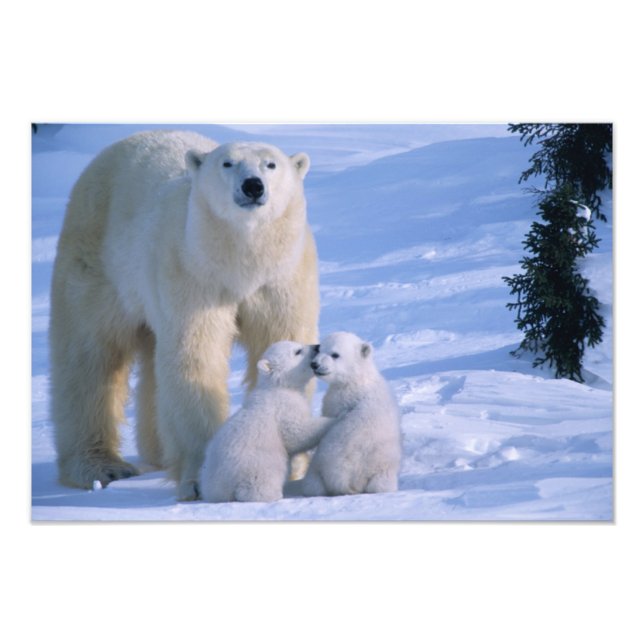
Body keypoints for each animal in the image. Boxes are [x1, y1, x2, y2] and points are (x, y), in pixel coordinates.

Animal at [49, 130, 319, 500]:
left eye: (271, 164)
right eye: (228, 163)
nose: (252, 186)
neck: (241, 262)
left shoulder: (282, 279)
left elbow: (283, 345)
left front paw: (291, 466)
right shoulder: (192, 273)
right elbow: (195, 357)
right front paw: (199, 478)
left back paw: (158, 451)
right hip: (98, 259)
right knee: (88, 356)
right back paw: (100, 466)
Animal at [200, 341, 333, 503]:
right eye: (297, 351)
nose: (317, 346)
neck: (278, 386)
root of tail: (220, 487)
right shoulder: (283, 407)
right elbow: (296, 433)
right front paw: (333, 419)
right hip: (257, 464)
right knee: (259, 483)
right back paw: (274, 494)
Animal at [294, 332, 402, 497]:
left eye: (335, 354)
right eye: (320, 349)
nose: (315, 364)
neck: (356, 379)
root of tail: (346, 480)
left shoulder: (339, 400)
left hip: (322, 462)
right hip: (383, 469)